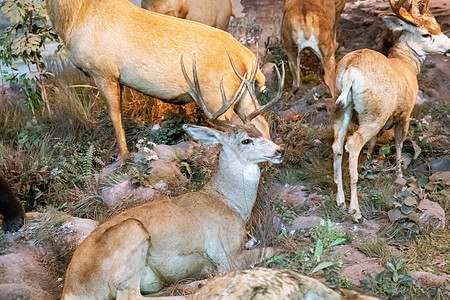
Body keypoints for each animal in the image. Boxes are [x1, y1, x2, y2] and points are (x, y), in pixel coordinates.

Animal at [46, 0, 278, 159]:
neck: (75, 17)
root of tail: (248, 58)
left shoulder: (104, 72)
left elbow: (115, 116)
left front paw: (123, 157)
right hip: (243, 94)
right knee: (260, 122)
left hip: (217, 97)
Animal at [61, 67, 284, 298]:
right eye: (246, 141)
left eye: (260, 132)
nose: (279, 151)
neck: (229, 202)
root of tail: (69, 288)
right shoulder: (226, 253)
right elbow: (273, 249)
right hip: (132, 232)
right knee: (132, 295)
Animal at [330, 0, 450, 220]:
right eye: (425, 34)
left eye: (437, 25)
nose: (448, 47)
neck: (406, 64)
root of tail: (350, 71)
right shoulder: (405, 113)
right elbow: (399, 143)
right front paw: (399, 174)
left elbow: (372, 143)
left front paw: (369, 164)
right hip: (374, 112)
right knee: (352, 144)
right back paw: (355, 210)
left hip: (342, 108)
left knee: (337, 145)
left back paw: (340, 200)